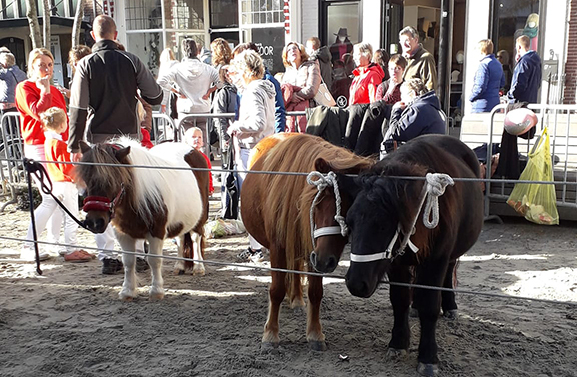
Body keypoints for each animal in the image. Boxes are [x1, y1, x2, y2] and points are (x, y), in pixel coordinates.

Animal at [76, 138, 209, 300]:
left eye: (113, 180)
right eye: (86, 179)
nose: (95, 222)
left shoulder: (157, 232)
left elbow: (154, 260)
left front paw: (156, 291)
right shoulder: (123, 234)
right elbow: (128, 261)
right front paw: (127, 291)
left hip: (199, 218)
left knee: (196, 238)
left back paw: (198, 267)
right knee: (181, 238)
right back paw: (179, 266)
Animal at [240, 134, 372, 352]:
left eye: (353, 207)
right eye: (318, 201)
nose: (325, 261)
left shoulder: (313, 249)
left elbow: (315, 292)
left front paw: (315, 333)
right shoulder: (279, 247)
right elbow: (276, 290)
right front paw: (270, 334)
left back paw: (297, 299)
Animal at [340, 135, 484, 376]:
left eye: (382, 225)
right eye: (349, 223)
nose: (356, 283)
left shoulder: (436, 261)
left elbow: (430, 306)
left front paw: (428, 356)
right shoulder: (396, 264)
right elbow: (399, 300)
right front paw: (398, 343)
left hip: (450, 256)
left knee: (449, 273)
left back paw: (451, 306)